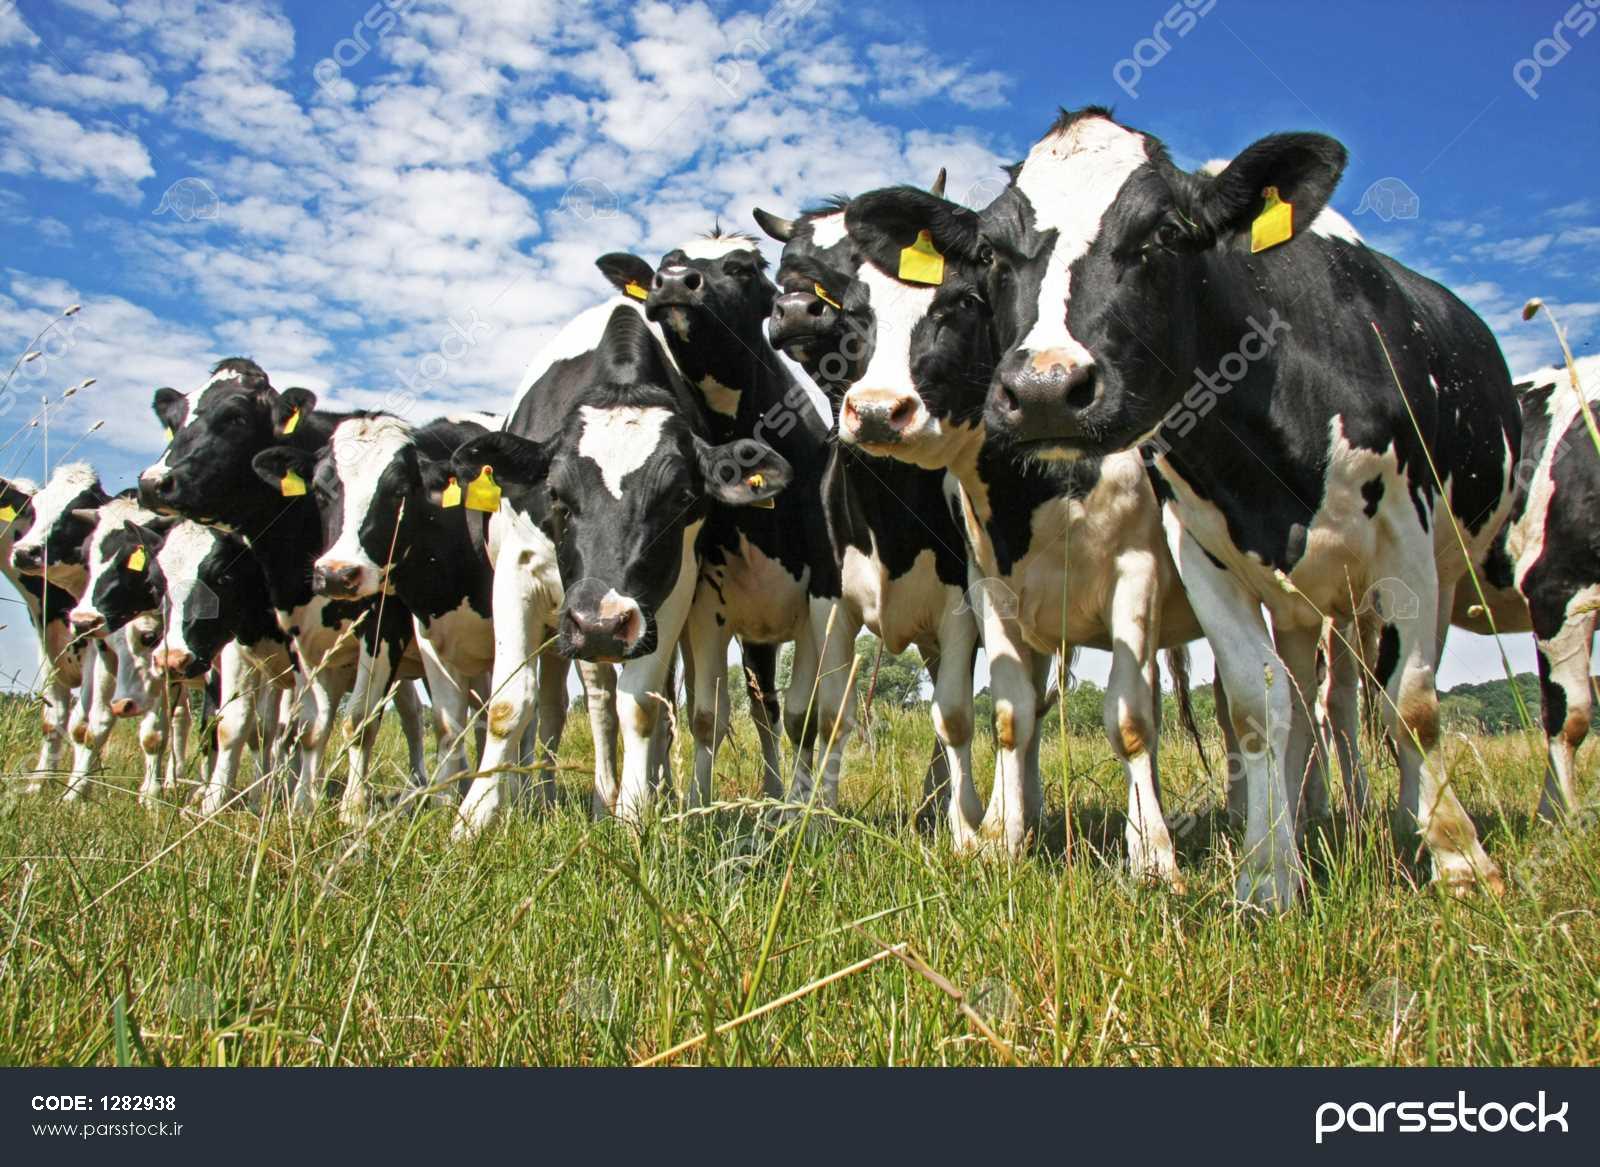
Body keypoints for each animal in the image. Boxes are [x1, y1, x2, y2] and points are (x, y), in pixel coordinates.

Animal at [138, 358, 429, 822]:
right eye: (173, 421)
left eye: (236, 417)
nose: (153, 483)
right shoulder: (275, 642)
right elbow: (265, 725)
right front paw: (261, 803)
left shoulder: (383, 629)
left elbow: (357, 720)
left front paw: (351, 809)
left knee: (414, 716)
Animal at [449, 299, 790, 835]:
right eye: (555, 494)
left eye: (681, 498)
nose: (602, 622)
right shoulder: (516, 574)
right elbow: (509, 703)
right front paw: (474, 818)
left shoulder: (672, 594)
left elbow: (644, 706)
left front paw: (634, 814)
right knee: (585, 703)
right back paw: (571, 798)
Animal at [952, 108, 1517, 909]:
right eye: (993, 252)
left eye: (1164, 233)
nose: (1043, 390)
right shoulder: (1203, 554)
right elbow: (1256, 709)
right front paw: (1268, 874)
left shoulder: (1403, 543)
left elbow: (1411, 704)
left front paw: (1462, 859)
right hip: (1297, 605)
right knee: (1304, 703)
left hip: (1428, 573)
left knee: (1363, 701)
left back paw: (1397, 815)